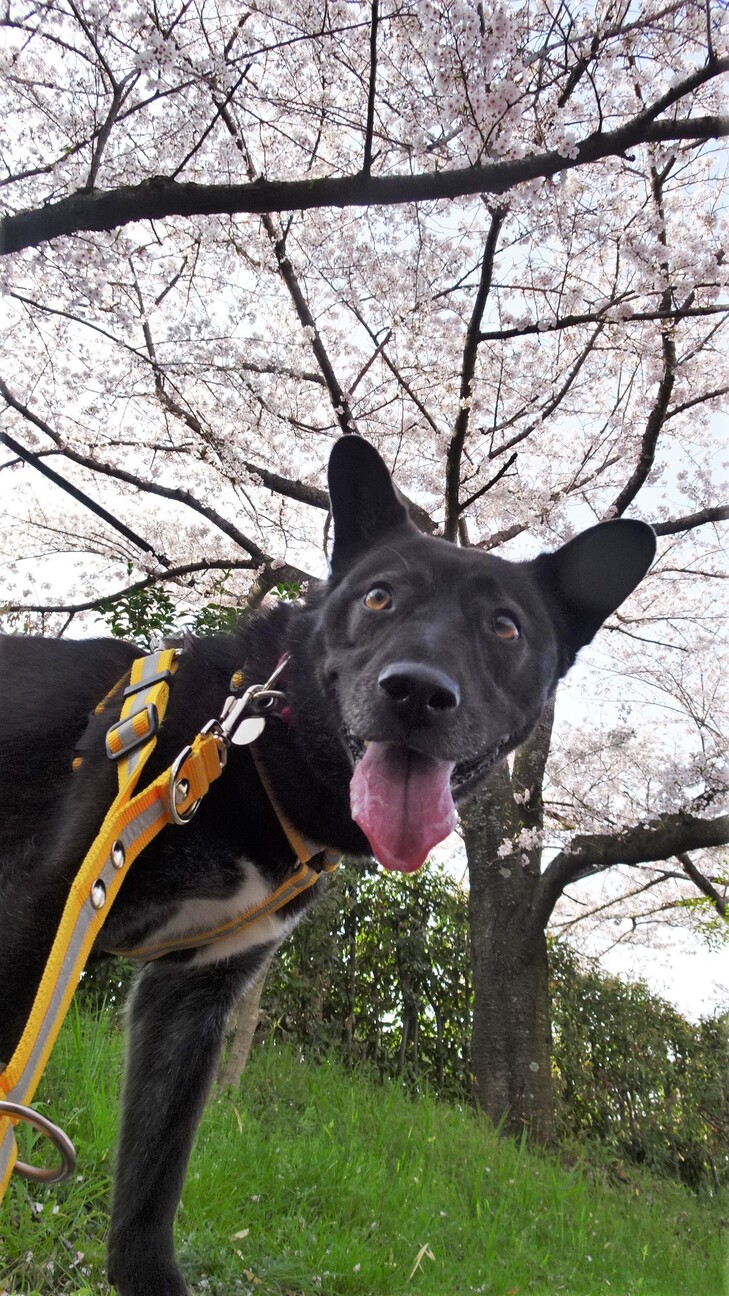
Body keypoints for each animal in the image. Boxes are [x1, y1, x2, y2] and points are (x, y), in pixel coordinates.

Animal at [0, 435, 655, 1295]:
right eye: (378, 598)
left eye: (505, 628)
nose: (416, 692)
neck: (253, 753)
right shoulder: (39, 914)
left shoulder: (194, 994)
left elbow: (151, 1183)